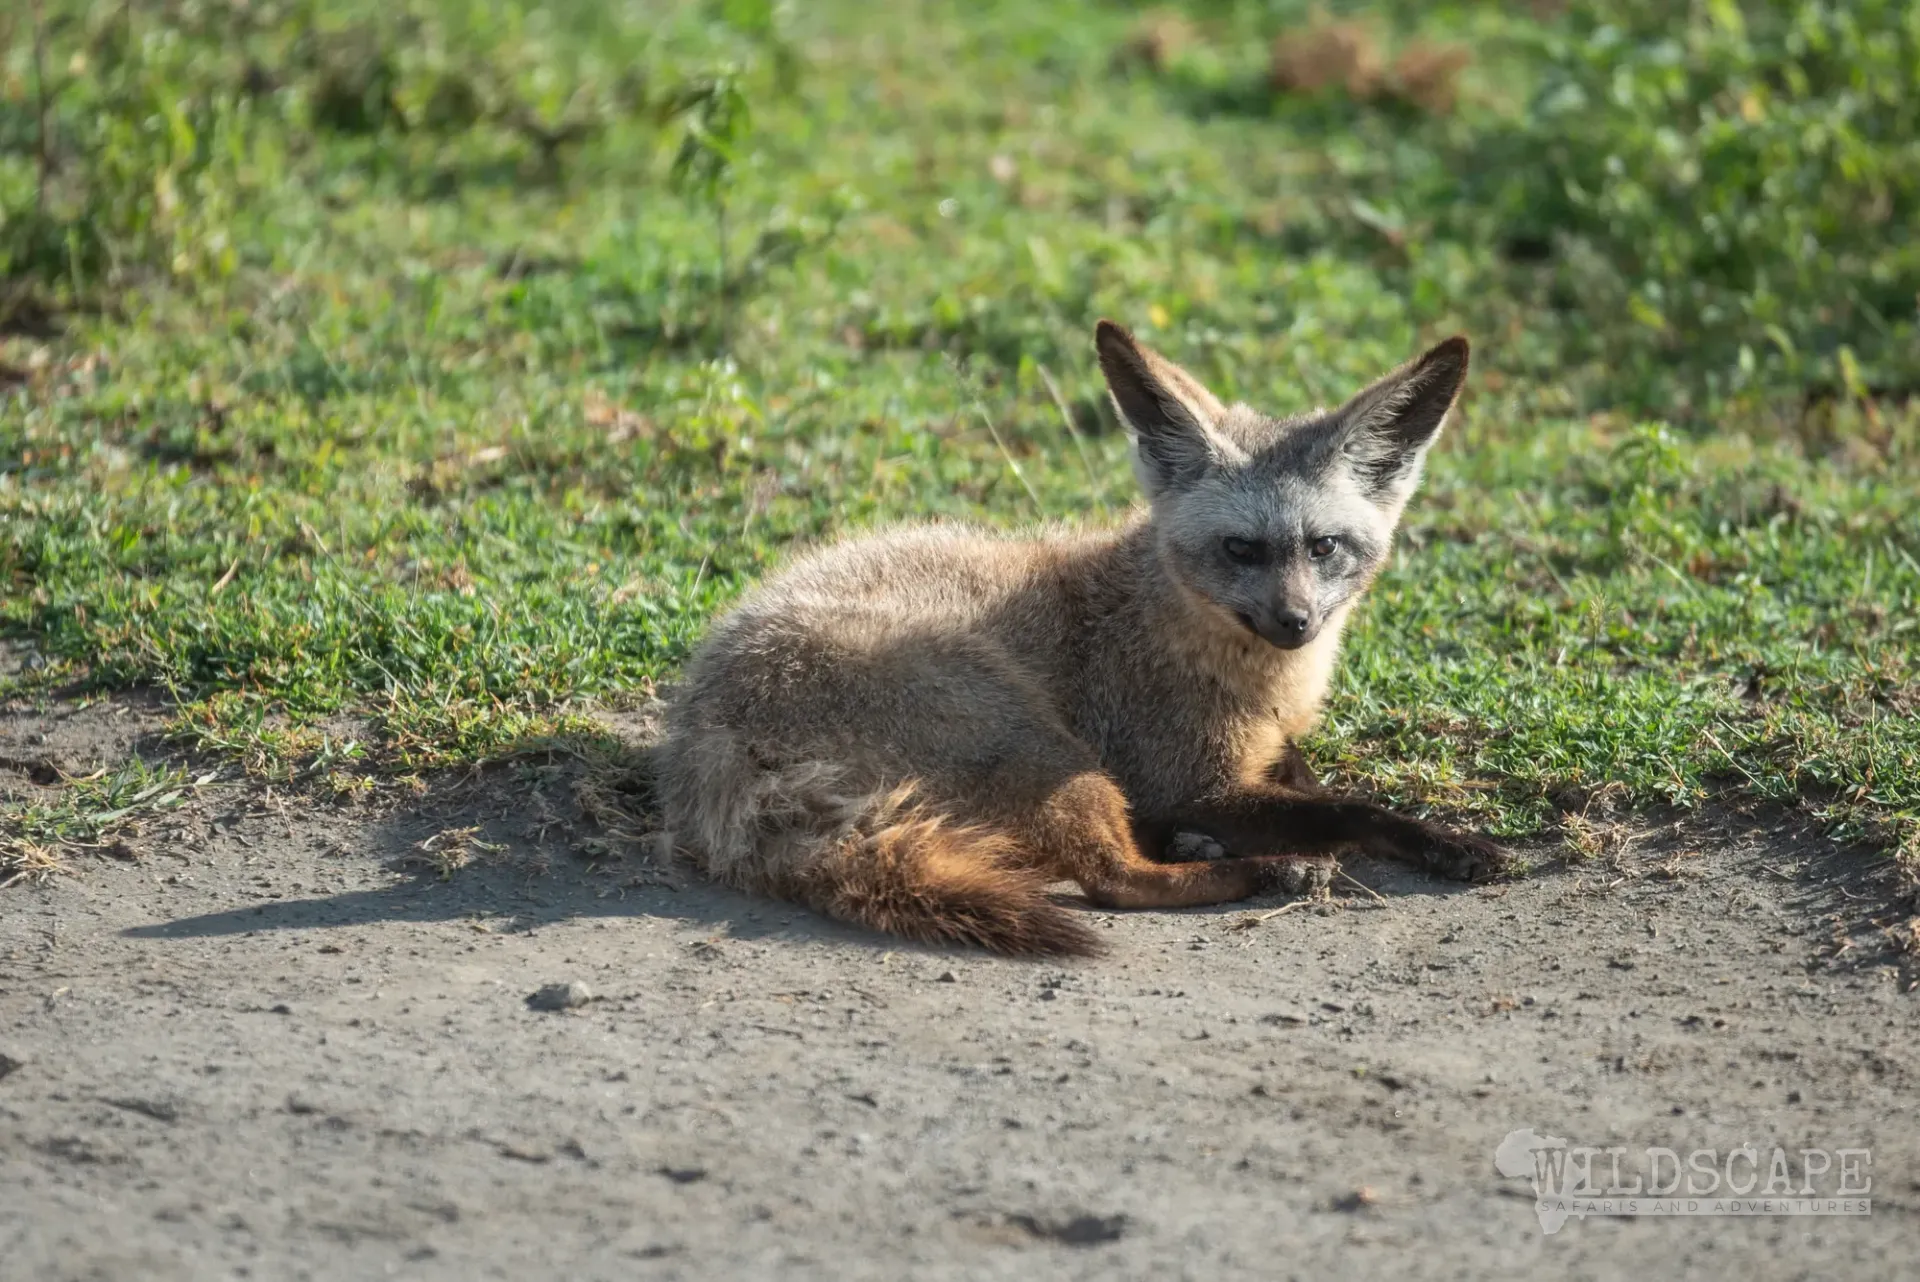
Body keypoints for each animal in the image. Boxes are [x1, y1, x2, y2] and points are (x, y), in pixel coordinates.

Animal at [656, 320, 1508, 956]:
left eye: (1325, 547)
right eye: (1241, 549)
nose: (1295, 623)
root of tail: (710, 737)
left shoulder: (1251, 754)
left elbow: (1305, 777)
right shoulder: (1185, 779)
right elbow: (1346, 810)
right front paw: (1445, 841)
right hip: (1048, 750)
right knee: (1114, 881)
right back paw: (1264, 870)